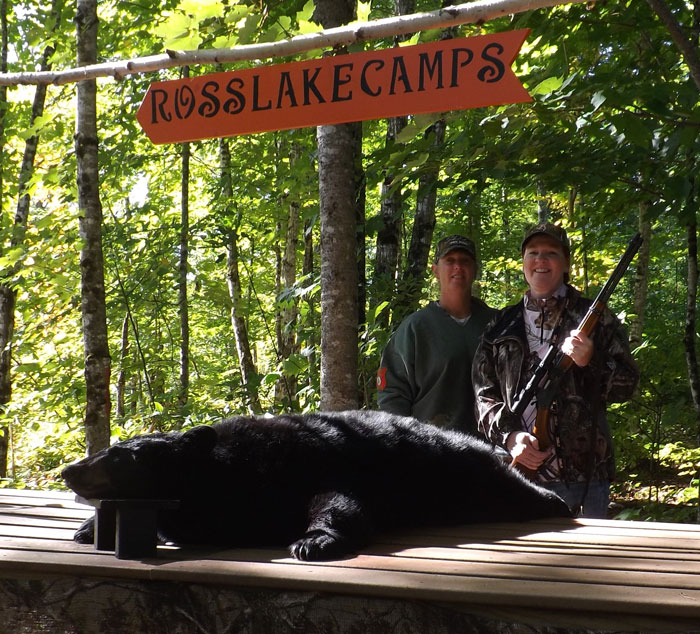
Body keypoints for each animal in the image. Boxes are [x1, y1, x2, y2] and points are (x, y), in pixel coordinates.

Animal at [62, 409, 572, 561]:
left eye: (119, 456)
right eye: (109, 448)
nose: (68, 470)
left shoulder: (306, 463)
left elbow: (337, 500)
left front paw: (313, 541)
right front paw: (87, 527)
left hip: (463, 471)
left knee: (508, 485)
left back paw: (555, 501)